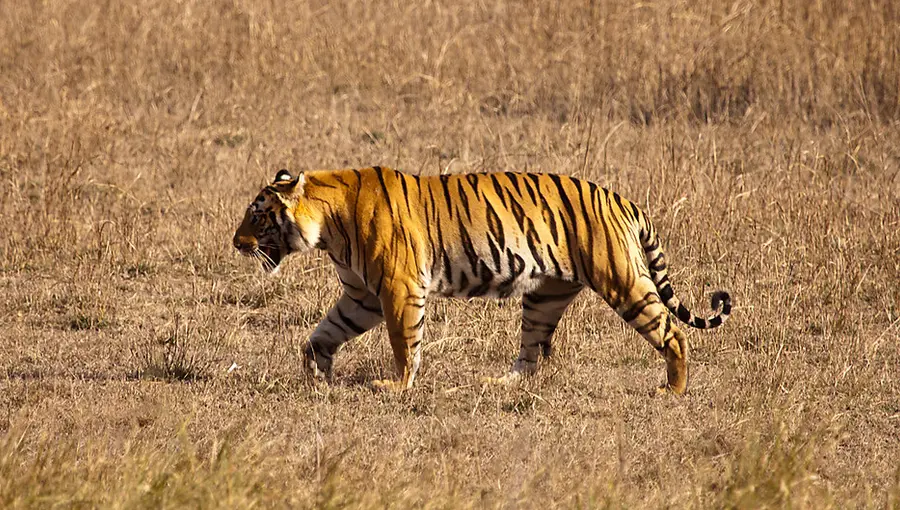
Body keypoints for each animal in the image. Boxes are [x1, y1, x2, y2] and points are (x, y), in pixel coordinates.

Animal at [232, 166, 731, 394]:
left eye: (257, 215)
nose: (236, 242)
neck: (327, 226)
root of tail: (623, 199)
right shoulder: (362, 296)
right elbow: (323, 333)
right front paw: (315, 372)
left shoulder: (398, 288)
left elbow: (404, 343)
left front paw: (396, 387)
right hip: (545, 297)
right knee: (531, 354)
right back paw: (501, 383)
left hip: (623, 281)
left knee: (673, 333)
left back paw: (673, 390)